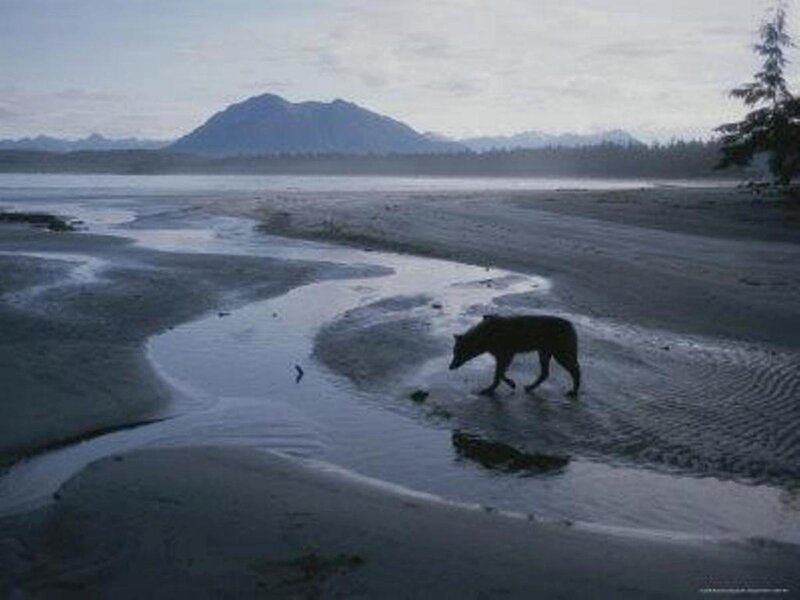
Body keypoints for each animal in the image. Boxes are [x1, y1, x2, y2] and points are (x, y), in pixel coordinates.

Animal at [449, 314, 581, 397]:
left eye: (457, 353)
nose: (450, 367)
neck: (486, 336)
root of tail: (571, 324)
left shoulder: (507, 354)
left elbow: (498, 374)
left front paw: (491, 389)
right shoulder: (503, 356)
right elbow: (500, 374)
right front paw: (510, 383)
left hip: (560, 355)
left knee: (576, 370)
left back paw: (574, 392)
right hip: (543, 353)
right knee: (545, 374)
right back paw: (530, 387)